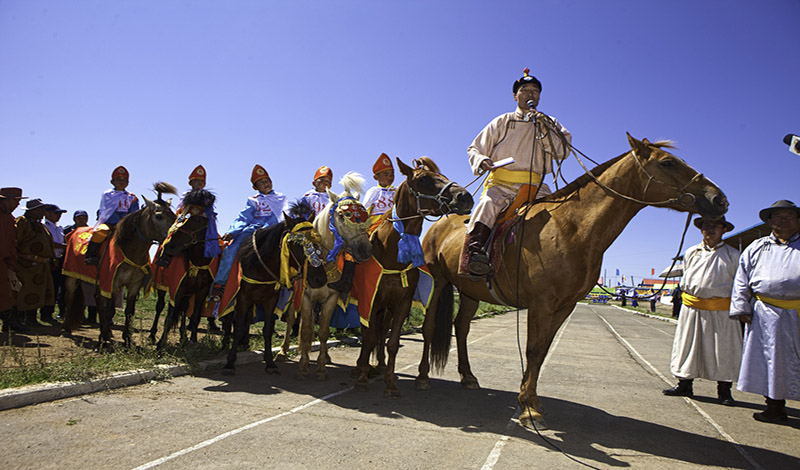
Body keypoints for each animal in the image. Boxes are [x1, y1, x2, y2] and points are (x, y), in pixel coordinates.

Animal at [354, 157, 472, 396]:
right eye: (424, 178)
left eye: (443, 175)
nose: (464, 197)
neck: (393, 253)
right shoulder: (370, 300)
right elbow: (368, 337)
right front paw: (362, 377)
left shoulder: (402, 303)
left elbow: (392, 342)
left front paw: (390, 383)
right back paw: (361, 366)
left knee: (382, 332)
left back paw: (380, 364)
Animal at [416, 135, 728, 430]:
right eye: (668, 163)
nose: (719, 200)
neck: (572, 228)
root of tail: (438, 224)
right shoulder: (541, 304)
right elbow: (533, 350)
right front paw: (530, 410)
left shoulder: (565, 306)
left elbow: (542, 351)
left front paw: (530, 400)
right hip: (438, 283)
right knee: (430, 327)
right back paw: (422, 376)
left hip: (470, 292)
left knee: (462, 327)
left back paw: (468, 376)